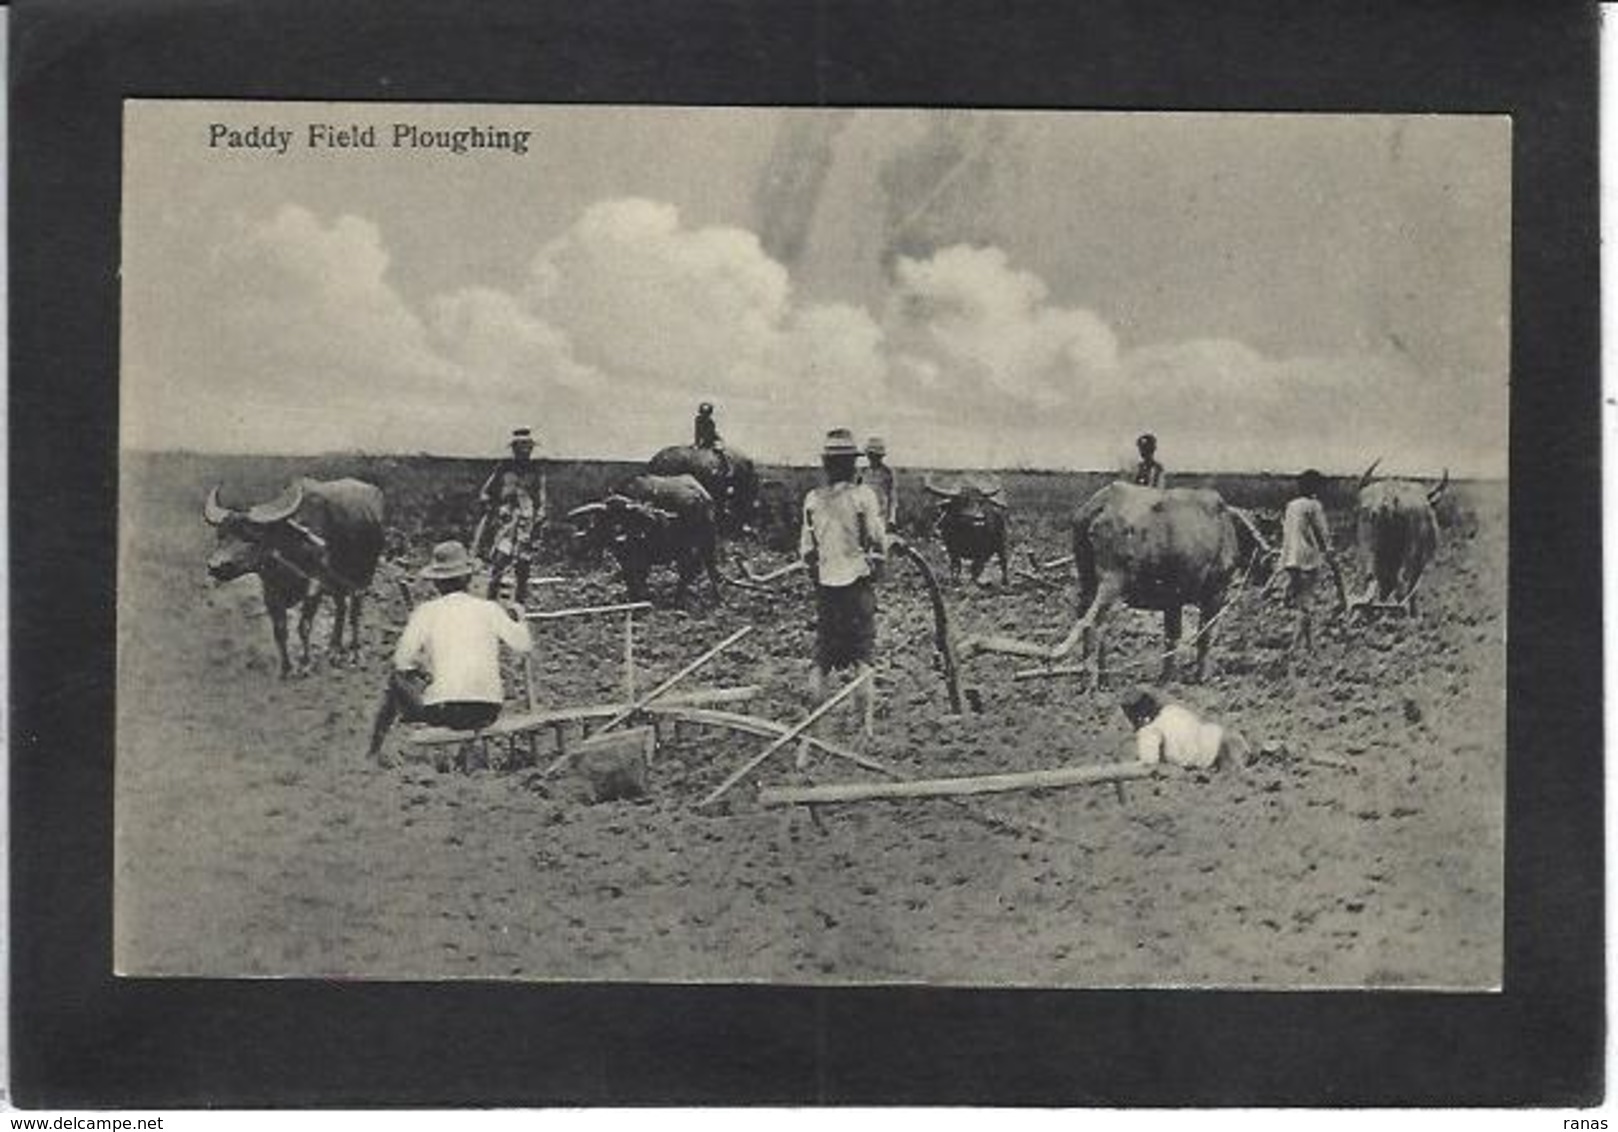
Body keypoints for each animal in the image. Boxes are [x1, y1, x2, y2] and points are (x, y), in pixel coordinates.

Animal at [203, 475, 386, 672]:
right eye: (220, 535)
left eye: (252, 536)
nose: (215, 566)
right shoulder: (271, 593)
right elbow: (280, 630)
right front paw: (286, 669)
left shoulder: (314, 588)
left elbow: (303, 627)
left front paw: (305, 664)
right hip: (337, 584)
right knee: (341, 608)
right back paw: (334, 648)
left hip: (363, 576)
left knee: (354, 611)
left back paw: (354, 652)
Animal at [566, 472, 724, 604]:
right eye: (607, 518)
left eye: (625, 518)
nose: (619, 537)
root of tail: (701, 497)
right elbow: (631, 577)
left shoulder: (640, 558)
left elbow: (637, 578)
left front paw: (638, 597)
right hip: (702, 546)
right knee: (702, 570)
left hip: (696, 547)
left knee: (696, 570)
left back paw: (681, 599)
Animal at [964, 478, 1268, 685]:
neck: (1228, 525)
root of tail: (1101, 503)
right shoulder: (1215, 593)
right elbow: (1206, 634)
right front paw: (1202, 676)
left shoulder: (1173, 599)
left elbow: (1172, 636)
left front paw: (1167, 677)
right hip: (1112, 582)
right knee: (1095, 625)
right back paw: (1092, 682)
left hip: (1088, 581)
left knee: (1089, 621)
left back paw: (1103, 676)